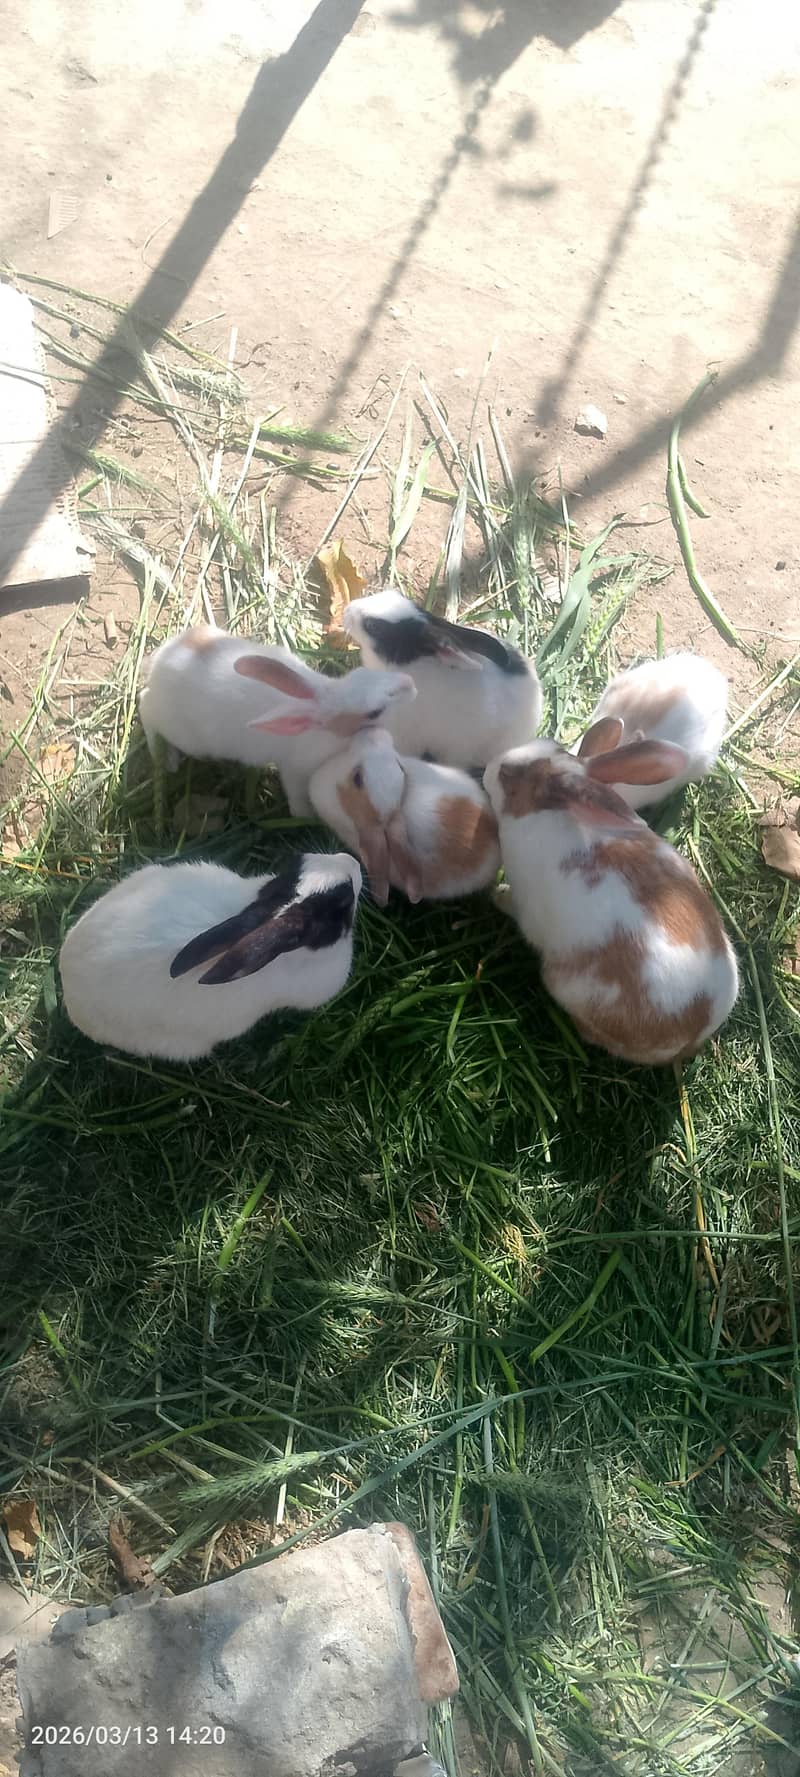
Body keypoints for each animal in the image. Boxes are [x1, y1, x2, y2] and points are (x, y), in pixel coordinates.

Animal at [138, 625, 416, 816]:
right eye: (374, 712)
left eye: (363, 672)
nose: (410, 684)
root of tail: (159, 665)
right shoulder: (294, 772)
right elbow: (297, 801)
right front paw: (307, 817)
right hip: (182, 733)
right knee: (144, 707)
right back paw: (167, 759)